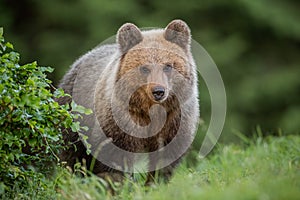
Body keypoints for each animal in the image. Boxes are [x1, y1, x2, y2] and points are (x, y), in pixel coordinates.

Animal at [58, 19, 199, 183]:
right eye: (144, 68)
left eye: (168, 66)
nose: (158, 91)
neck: (152, 110)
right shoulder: (121, 119)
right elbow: (116, 154)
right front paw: (118, 181)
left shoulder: (175, 118)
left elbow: (166, 155)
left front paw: (155, 182)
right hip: (75, 113)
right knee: (72, 151)